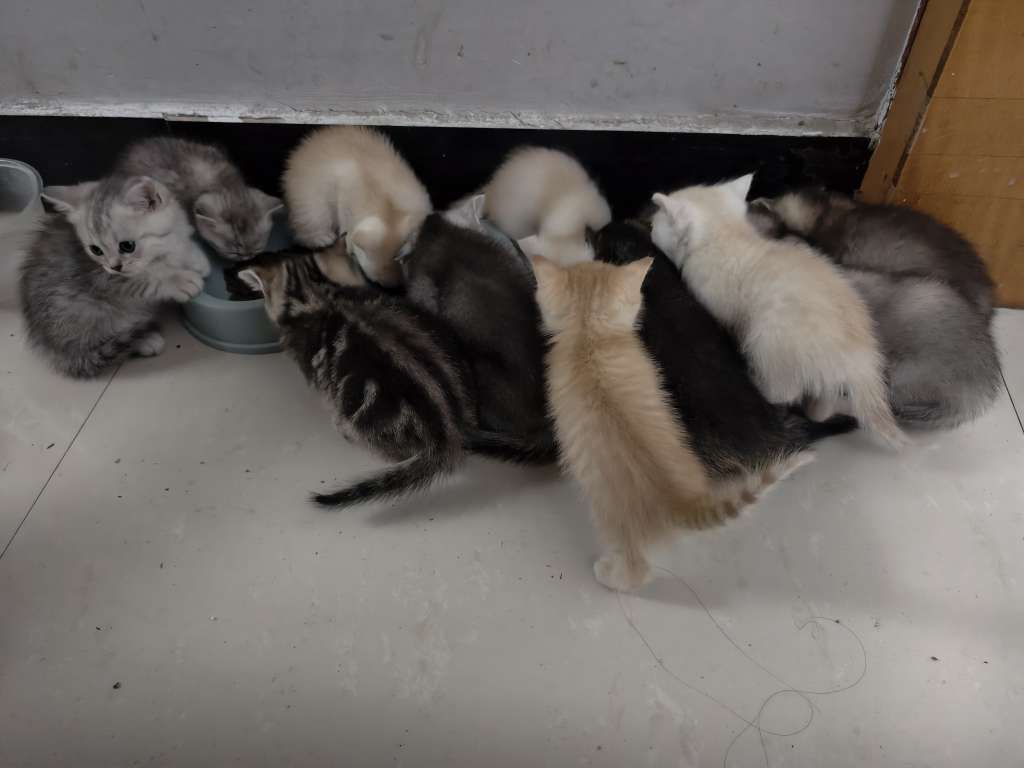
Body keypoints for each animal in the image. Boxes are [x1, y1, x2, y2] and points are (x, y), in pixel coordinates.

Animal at [20, 176, 209, 378]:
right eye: (95, 250)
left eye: (127, 246)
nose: (114, 267)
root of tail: (53, 346)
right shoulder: (104, 279)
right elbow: (148, 279)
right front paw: (179, 280)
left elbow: (179, 247)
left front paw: (197, 259)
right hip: (93, 311)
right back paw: (147, 341)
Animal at [282, 126, 431, 287]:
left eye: (399, 258)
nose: (392, 285)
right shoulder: (343, 196)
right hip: (314, 210)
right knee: (306, 232)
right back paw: (323, 237)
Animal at [651, 175, 907, 448]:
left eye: (656, 223)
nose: (650, 226)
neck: (729, 235)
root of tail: (862, 361)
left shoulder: (715, 301)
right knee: (820, 409)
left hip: (769, 341)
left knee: (784, 392)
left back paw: (756, 378)